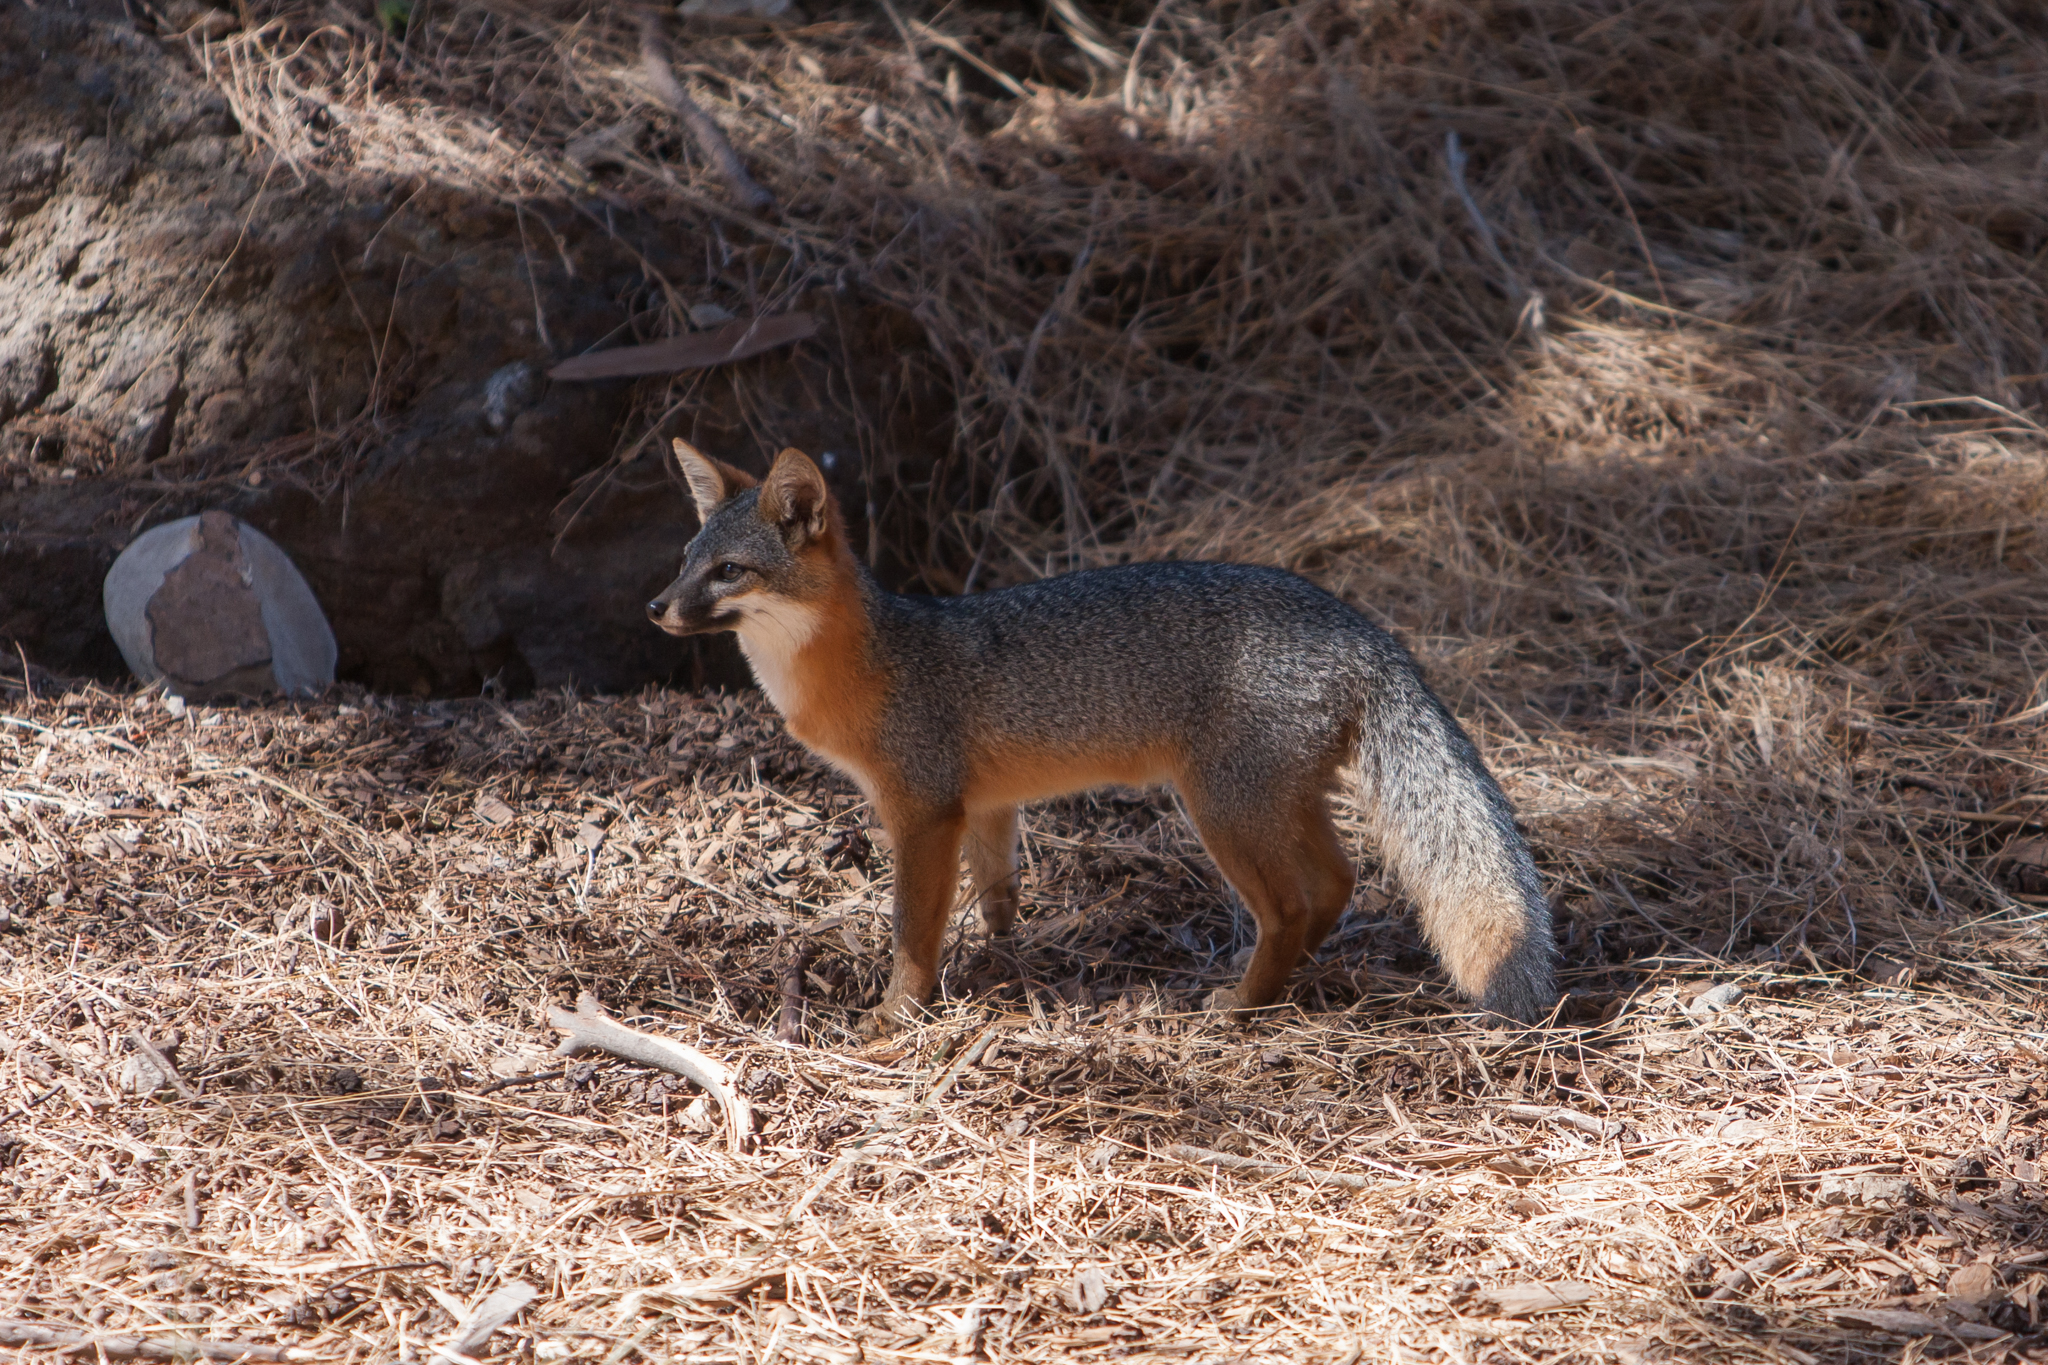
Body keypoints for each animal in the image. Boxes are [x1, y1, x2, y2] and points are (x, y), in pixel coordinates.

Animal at [648, 440, 1558, 1035]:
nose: (655, 606)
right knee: (1337, 881)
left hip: (1220, 808)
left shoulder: (922, 811)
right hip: (1275, 800)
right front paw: (1001, 959)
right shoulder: (986, 806)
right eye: (685, 556)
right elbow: (997, 893)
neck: (864, 660)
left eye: (728, 571)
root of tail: (1360, 626)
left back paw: (1243, 1003)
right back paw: (1286, 983)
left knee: (1294, 901)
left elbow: (913, 927)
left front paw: (896, 1012)